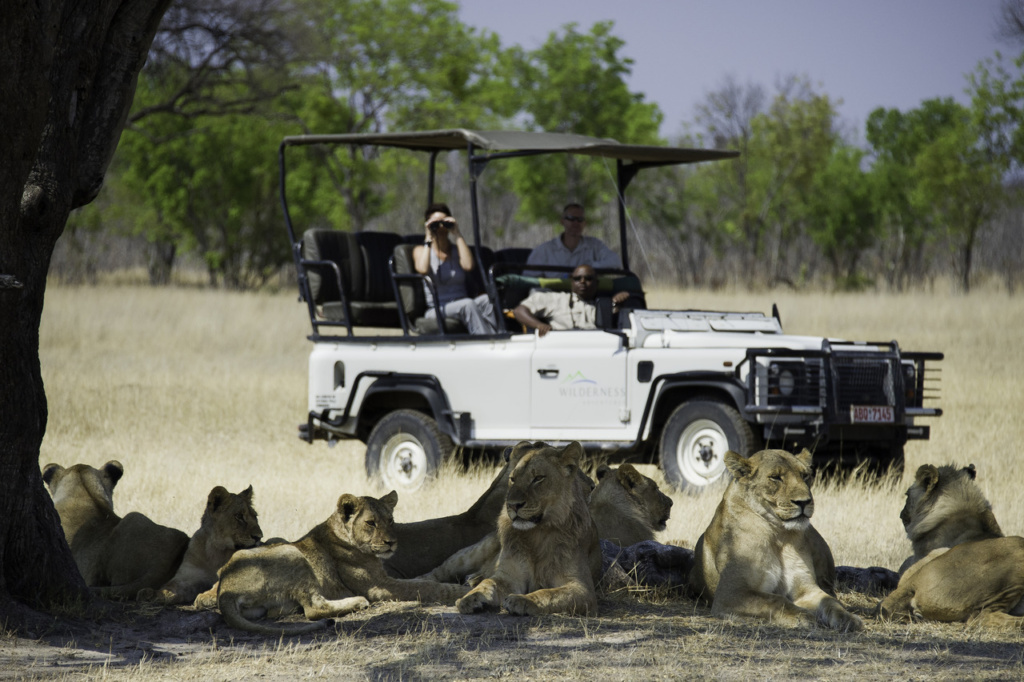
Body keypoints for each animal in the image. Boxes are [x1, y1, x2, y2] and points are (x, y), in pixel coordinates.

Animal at [219, 489, 471, 630]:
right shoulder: (379, 586)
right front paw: (464, 591)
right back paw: (357, 602)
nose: (391, 542)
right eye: (371, 523)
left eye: (390, 520)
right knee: (313, 609)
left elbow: (421, 581)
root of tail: (225, 589)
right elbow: (427, 587)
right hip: (291, 553)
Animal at [456, 440, 598, 614]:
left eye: (538, 478)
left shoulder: (583, 588)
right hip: (470, 555)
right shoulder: (509, 577)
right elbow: (488, 583)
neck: (537, 533)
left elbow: (548, 593)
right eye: (512, 479)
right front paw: (469, 598)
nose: (513, 505)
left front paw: (521, 600)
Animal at [684, 448, 860, 630]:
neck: (778, 534)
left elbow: (828, 601)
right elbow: (776, 600)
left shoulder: (805, 588)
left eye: (804, 475)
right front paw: (803, 616)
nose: (804, 502)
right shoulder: (730, 592)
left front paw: (847, 617)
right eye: (776, 477)